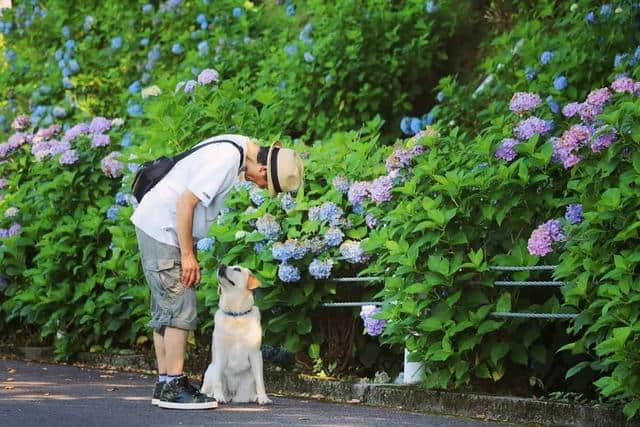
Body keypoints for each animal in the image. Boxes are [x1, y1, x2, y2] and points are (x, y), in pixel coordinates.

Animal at [199, 264, 272, 404]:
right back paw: (212, 395)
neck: (236, 315)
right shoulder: (220, 351)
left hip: (248, 380)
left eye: (237, 269)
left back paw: (254, 397)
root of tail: (232, 395)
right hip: (210, 369)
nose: (221, 265)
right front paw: (219, 396)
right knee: (206, 389)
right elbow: (218, 381)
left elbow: (260, 381)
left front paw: (263, 398)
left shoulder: (256, 353)